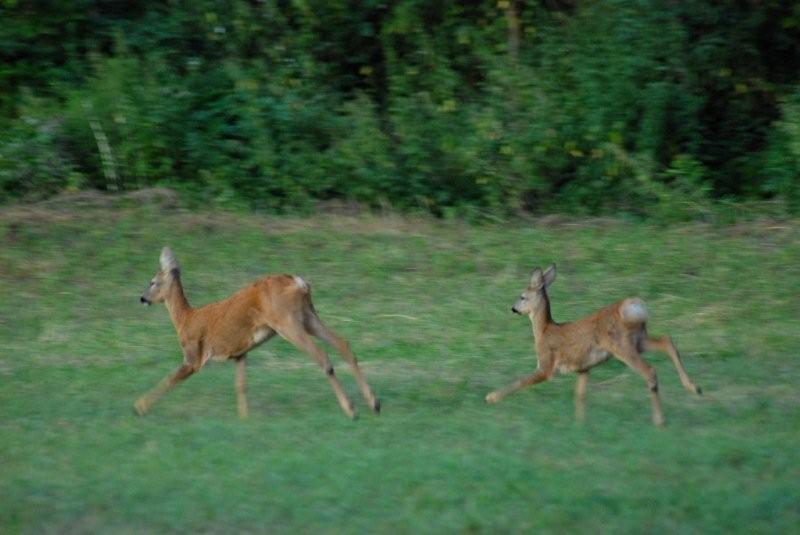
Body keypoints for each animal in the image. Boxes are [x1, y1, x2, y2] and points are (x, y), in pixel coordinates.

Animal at [134, 247, 378, 418]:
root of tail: (300, 283)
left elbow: (170, 379)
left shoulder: (194, 354)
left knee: (322, 355)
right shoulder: (239, 353)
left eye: (152, 282)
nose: (142, 298)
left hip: (286, 321)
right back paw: (374, 404)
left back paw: (351, 410)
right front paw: (245, 419)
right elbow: (241, 385)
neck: (185, 319)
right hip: (308, 316)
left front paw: (139, 407)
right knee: (343, 343)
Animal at [482, 266, 700, 428]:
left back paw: (660, 420)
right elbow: (579, 395)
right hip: (639, 340)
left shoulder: (546, 363)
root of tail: (633, 306)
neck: (544, 331)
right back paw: (694, 388)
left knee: (650, 370)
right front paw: (580, 424)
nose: (513, 309)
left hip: (621, 345)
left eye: (522, 296)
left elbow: (522, 381)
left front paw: (491, 397)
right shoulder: (584, 367)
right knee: (667, 341)